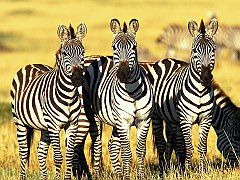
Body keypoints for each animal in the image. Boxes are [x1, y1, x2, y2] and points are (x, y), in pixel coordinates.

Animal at [10, 22, 87, 179]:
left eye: (82, 52)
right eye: (65, 54)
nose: (77, 79)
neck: (69, 96)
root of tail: (30, 64)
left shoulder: (72, 125)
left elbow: (69, 156)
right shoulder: (54, 125)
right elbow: (58, 157)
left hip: (44, 126)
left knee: (41, 150)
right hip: (20, 122)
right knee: (23, 152)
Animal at [79, 18, 153, 179]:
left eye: (134, 47)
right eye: (114, 47)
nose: (123, 74)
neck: (132, 92)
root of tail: (90, 58)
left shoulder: (144, 121)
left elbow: (140, 151)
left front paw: (139, 176)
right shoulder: (123, 121)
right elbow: (126, 153)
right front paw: (127, 176)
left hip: (114, 121)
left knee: (112, 145)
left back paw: (117, 174)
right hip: (91, 116)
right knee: (96, 145)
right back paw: (95, 174)